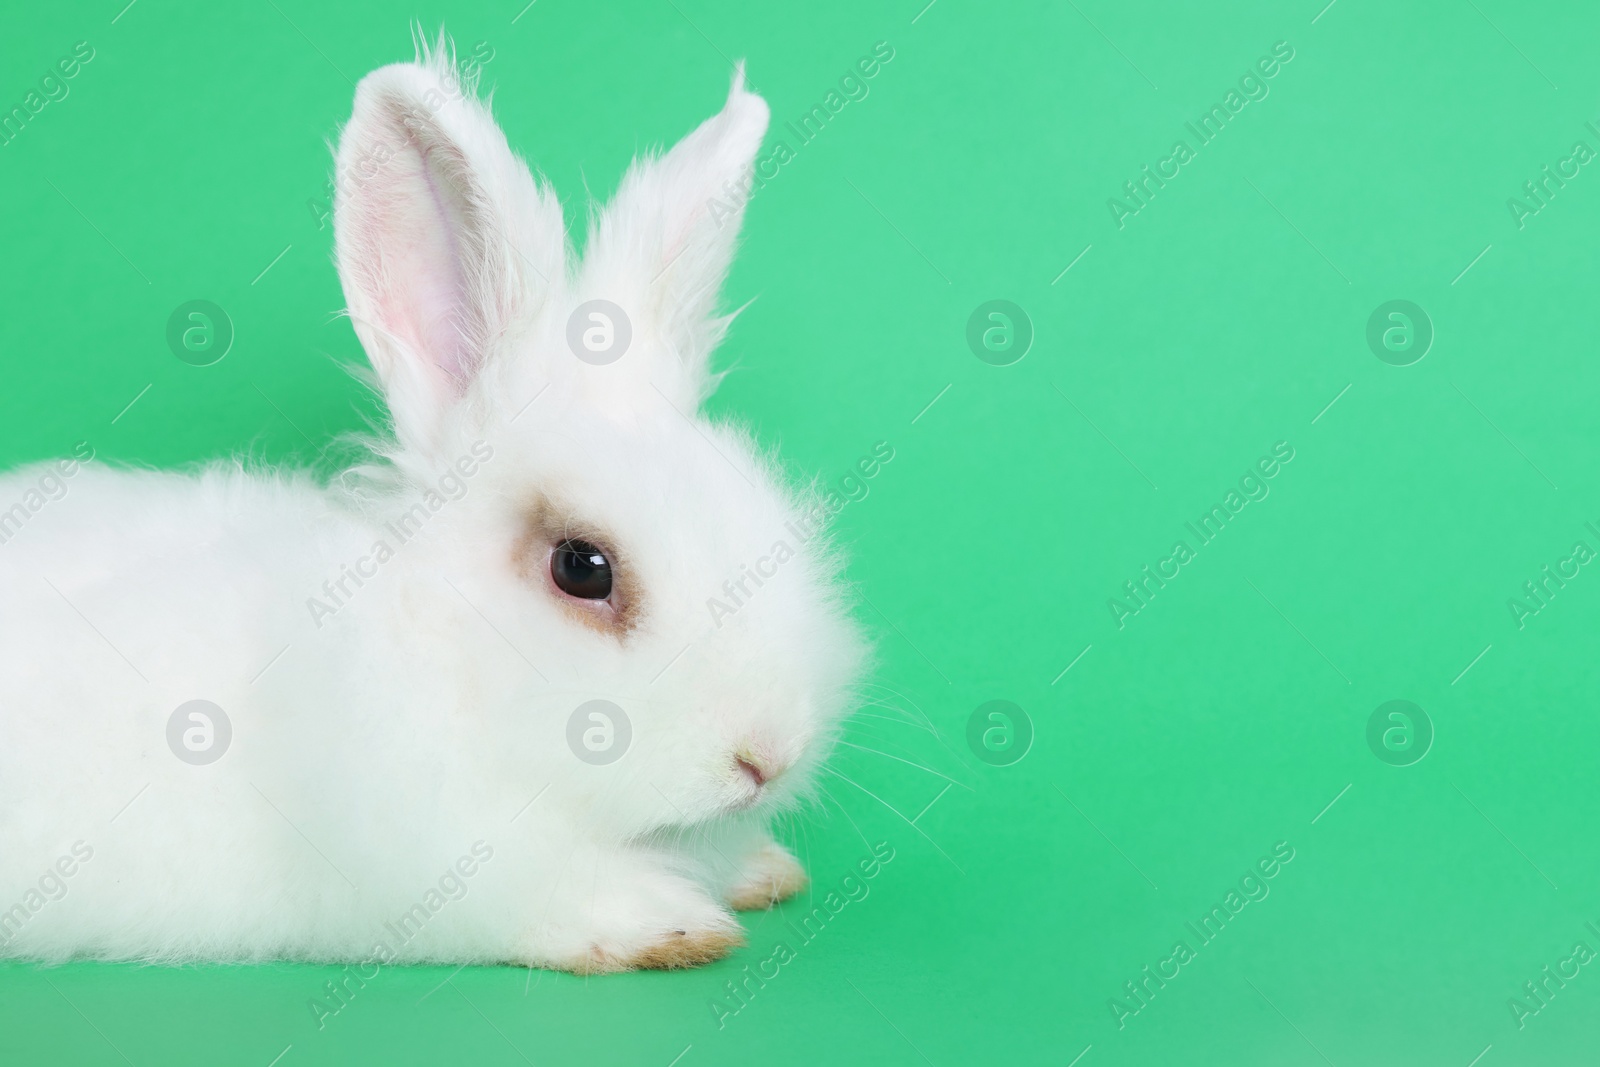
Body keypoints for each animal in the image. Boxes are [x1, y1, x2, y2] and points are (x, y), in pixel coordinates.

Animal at [0, 39, 864, 979]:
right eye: (582, 567)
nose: (768, 756)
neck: (437, 648)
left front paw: (763, 869)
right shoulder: (452, 857)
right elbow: (556, 893)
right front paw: (667, 925)